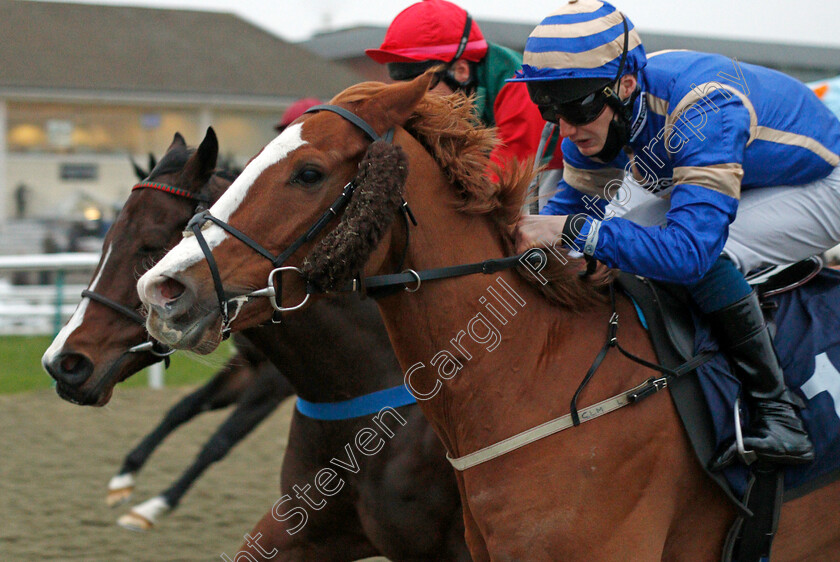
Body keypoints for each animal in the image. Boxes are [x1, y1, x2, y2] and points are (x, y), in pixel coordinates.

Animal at [41, 130, 466, 556]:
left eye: (151, 245)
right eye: (106, 239)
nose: (64, 362)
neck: (382, 374)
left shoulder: (271, 381)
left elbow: (221, 439)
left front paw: (154, 504)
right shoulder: (249, 367)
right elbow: (183, 408)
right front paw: (125, 478)